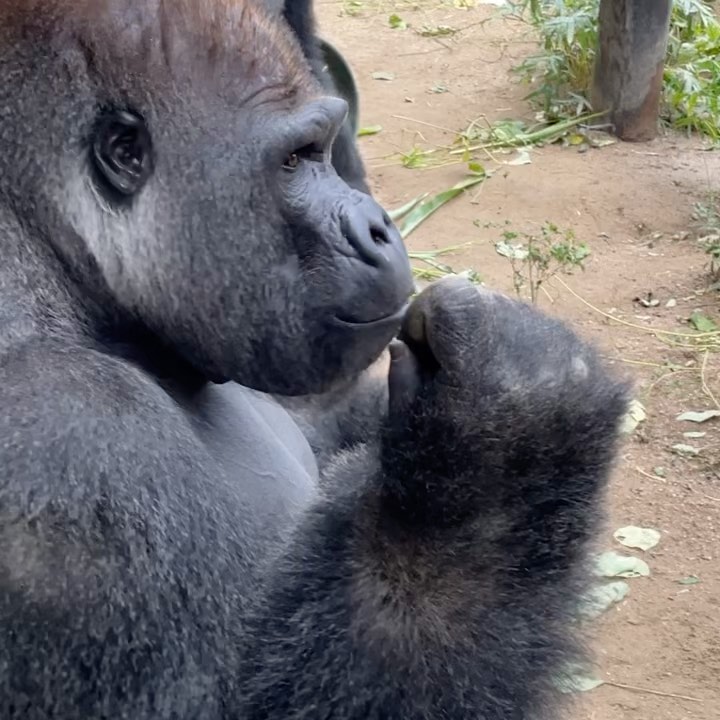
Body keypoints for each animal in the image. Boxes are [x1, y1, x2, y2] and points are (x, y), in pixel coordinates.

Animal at [0, 1, 629, 719]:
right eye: (296, 159)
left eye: (327, 149)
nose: (380, 225)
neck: (53, 260)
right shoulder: (64, 437)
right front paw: (507, 456)